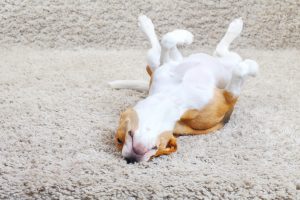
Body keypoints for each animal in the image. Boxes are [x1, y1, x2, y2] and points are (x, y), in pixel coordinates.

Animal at [109, 15, 258, 162]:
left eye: (119, 139)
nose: (130, 159)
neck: (172, 99)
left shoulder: (164, 69)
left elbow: (166, 40)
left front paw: (184, 36)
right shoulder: (229, 97)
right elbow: (239, 70)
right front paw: (252, 66)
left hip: (162, 61)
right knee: (220, 51)